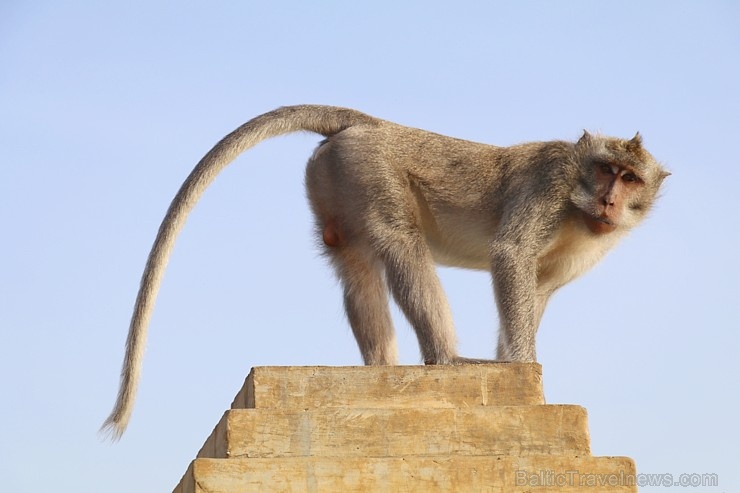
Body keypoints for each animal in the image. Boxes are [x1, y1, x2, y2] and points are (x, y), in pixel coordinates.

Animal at [101, 104, 668, 438]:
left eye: (630, 178)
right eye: (605, 170)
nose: (610, 200)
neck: (576, 204)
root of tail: (374, 125)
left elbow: (537, 291)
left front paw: (517, 367)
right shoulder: (549, 186)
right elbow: (510, 256)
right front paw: (526, 373)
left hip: (334, 177)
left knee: (355, 266)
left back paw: (381, 370)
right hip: (369, 167)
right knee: (401, 243)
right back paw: (446, 359)